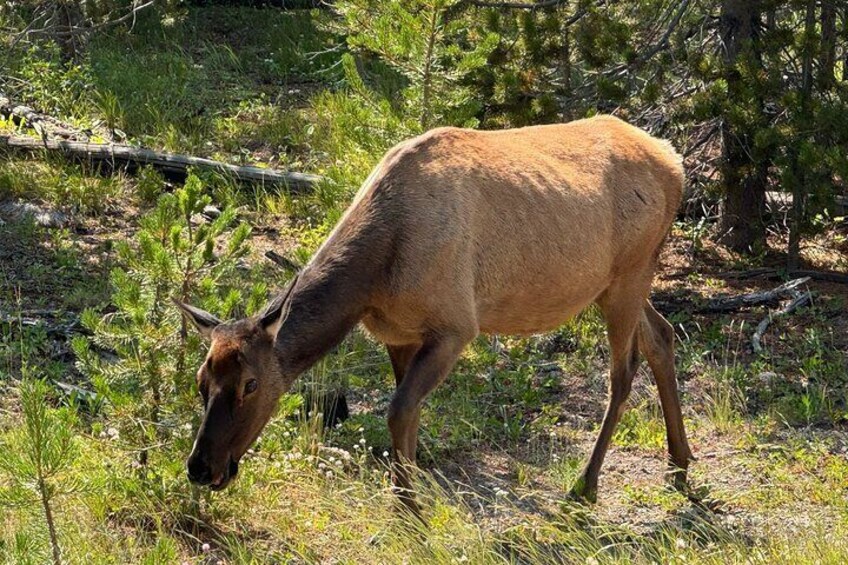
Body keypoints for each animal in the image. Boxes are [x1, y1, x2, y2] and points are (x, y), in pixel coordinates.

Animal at [176, 115, 692, 512]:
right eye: (201, 381)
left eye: (251, 384)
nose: (201, 468)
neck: (375, 278)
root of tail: (675, 160)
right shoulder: (399, 333)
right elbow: (409, 415)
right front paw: (412, 489)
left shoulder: (455, 325)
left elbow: (400, 410)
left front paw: (410, 509)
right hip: (618, 281)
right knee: (663, 334)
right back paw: (680, 461)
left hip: (629, 273)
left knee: (623, 369)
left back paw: (586, 486)